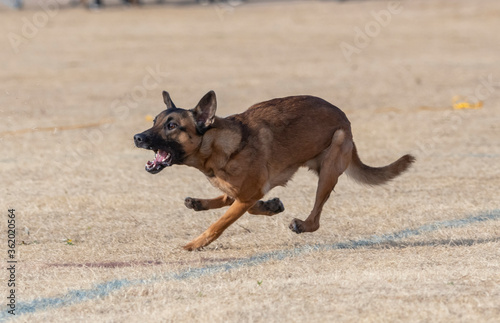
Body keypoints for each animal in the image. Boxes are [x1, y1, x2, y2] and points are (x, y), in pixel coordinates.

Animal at [134, 90, 414, 251]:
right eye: (155, 121)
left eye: (172, 126)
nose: (137, 137)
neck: (217, 145)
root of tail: (346, 120)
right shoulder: (246, 191)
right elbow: (236, 201)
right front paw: (271, 206)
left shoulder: (250, 191)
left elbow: (219, 224)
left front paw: (194, 244)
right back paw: (200, 202)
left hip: (330, 165)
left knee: (316, 219)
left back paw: (302, 224)